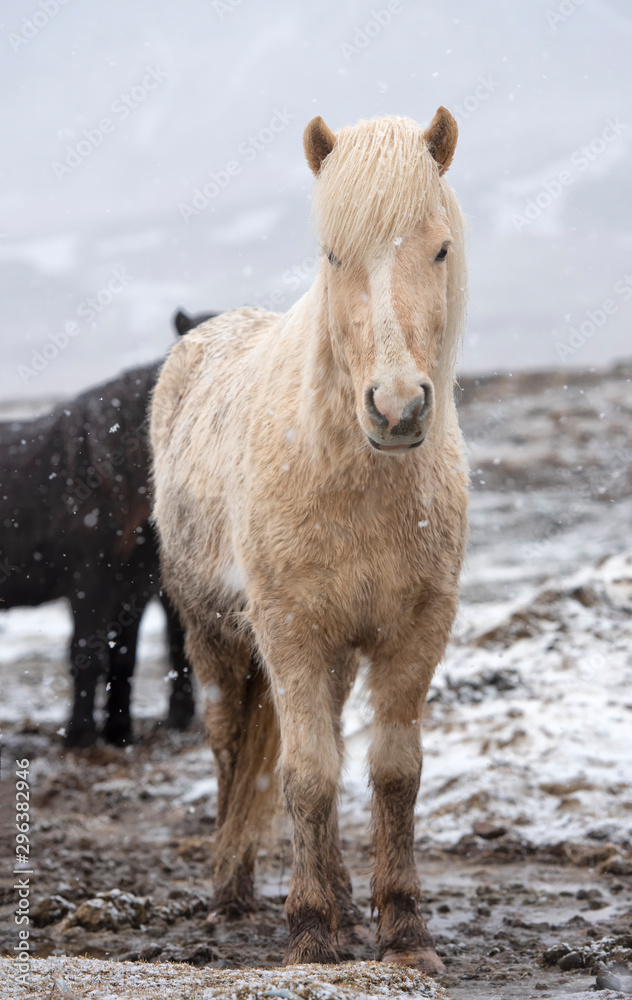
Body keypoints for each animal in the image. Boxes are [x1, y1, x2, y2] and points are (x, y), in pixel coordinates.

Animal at [0, 308, 215, 748]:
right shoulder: (90, 583)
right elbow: (87, 654)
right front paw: (80, 735)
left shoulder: (132, 588)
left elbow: (123, 658)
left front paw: (119, 732)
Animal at [151, 111, 470, 976]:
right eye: (333, 255)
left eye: (439, 249)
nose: (396, 409)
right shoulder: (290, 635)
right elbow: (306, 776)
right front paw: (311, 933)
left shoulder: (414, 635)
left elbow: (392, 775)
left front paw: (403, 934)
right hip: (216, 638)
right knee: (235, 752)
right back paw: (233, 891)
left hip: (333, 655)